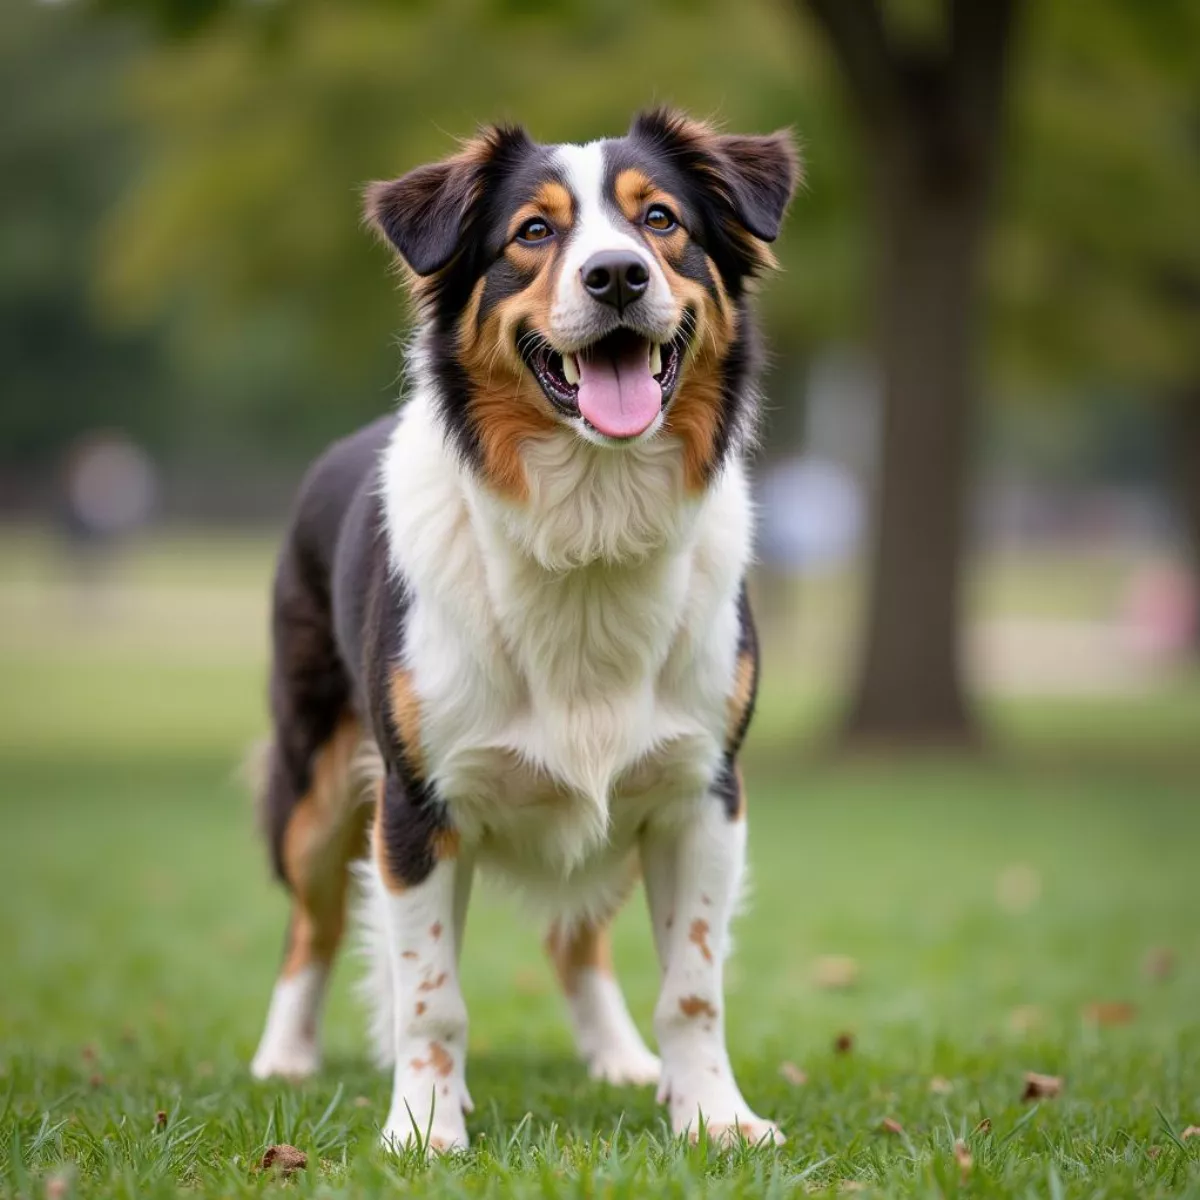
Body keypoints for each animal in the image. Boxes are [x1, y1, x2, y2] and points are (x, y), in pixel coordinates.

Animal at [249, 108, 801, 1147]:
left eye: (660, 220)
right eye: (533, 233)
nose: (617, 275)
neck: (589, 522)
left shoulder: (701, 791)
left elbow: (692, 984)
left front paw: (711, 1116)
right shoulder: (416, 804)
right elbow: (431, 995)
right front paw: (424, 1129)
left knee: (575, 938)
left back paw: (621, 1058)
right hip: (316, 785)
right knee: (313, 926)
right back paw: (284, 1057)